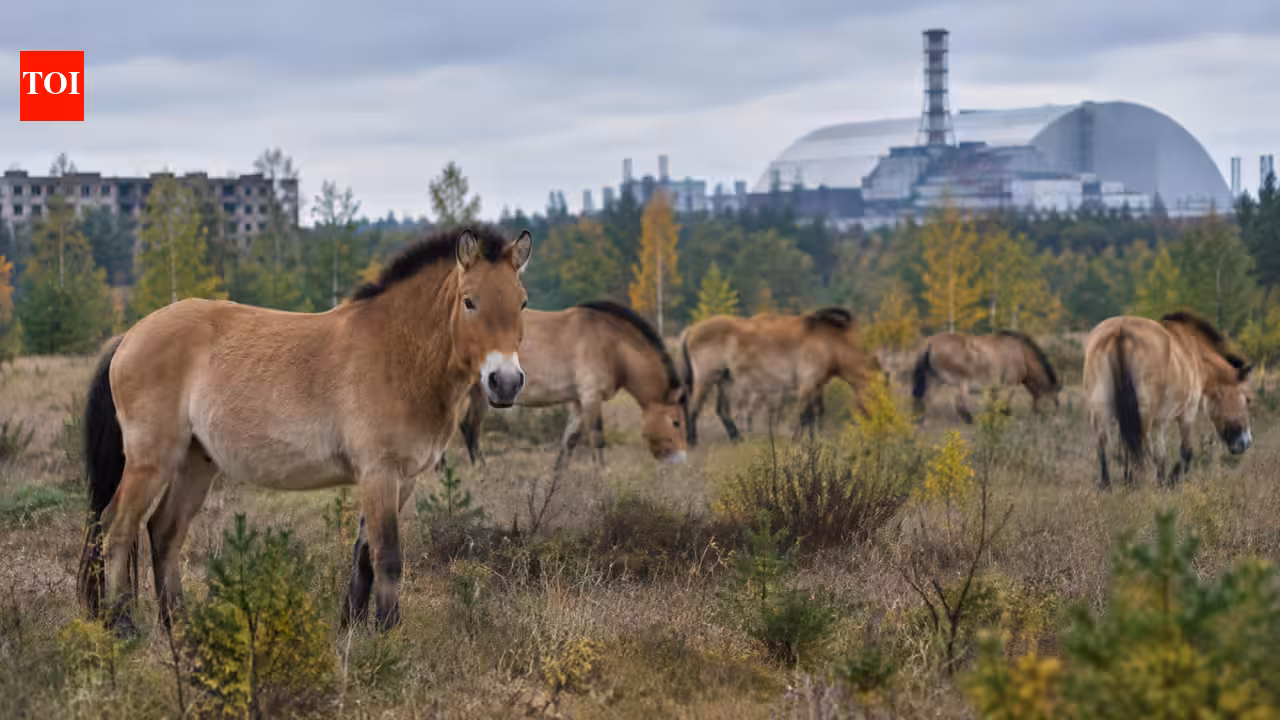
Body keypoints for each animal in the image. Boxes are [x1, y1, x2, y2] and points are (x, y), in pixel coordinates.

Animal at [76, 226, 533, 635]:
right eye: (469, 301)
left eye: (523, 303)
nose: (506, 382)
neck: (397, 353)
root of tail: (129, 336)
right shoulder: (380, 473)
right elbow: (387, 557)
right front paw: (388, 635)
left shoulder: (401, 480)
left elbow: (364, 554)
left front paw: (351, 629)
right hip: (151, 461)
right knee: (117, 528)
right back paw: (122, 624)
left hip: (195, 463)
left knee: (163, 532)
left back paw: (179, 624)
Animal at [456, 300, 688, 469]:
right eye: (676, 422)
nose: (680, 459)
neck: (611, 345)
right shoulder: (591, 397)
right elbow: (597, 439)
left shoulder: (578, 402)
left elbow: (568, 444)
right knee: (471, 430)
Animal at [680, 307, 875, 446]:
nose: (872, 423)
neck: (827, 343)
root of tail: (691, 330)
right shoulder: (808, 384)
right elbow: (805, 414)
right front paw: (797, 440)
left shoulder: (817, 386)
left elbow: (817, 413)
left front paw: (816, 440)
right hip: (705, 379)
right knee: (694, 407)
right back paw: (692, 441)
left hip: (725, 380)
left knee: (722, 410)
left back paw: (738, 440)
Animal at [911, 330, 1061, 424]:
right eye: (1054, 402)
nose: (1054, 418)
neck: (1022, 354)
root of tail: (930, 341)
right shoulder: (1011, 383)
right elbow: (1006, 402)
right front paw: (1006, 414)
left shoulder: (996, 387)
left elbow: (994, 402)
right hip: (960, 381)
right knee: (959, 402)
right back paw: (970, 419)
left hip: (934, 379)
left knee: (925, 397)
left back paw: (922, 418)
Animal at [1083, 311, 1253, 489]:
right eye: (1247, 399)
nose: (1245, 442)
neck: (1193, 351)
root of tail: (1120, 331)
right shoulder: (1187, 414)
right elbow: (1186, 451)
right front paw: (1172, 480)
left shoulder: (1159, 422)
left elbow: (1160, 455)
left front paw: (1161, 481)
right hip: (1143, 416)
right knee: (1139, 447)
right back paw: (1136, 484)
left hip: (1101, 409)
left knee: (1104, 443)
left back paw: (1108, 485)